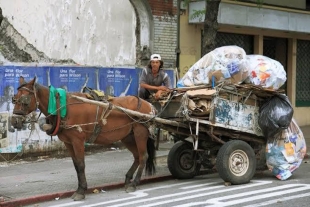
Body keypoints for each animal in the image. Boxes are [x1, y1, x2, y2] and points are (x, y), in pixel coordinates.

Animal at [10, 76, 156, 201]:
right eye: (14, 98)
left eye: (24, 99)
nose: (14, 121)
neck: (63, 107)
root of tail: (148, 105)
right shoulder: (68, 142)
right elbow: (76, 165)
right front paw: (80, 187)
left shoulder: (78, 141)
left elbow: (81, 164)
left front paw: (81, 191)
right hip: (128, 136)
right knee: (137, 156)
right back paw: (128, 179)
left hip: (140, 133)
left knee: (143, 156)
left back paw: (134, 183)